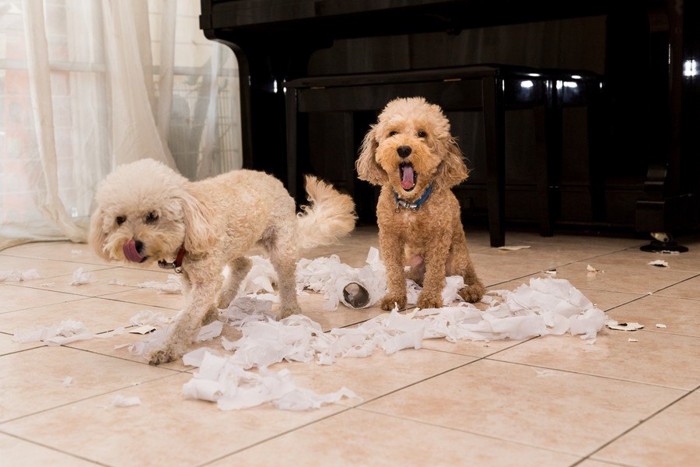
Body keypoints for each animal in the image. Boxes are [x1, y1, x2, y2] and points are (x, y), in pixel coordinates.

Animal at [90, 159, 356, 364]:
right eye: (120, 219)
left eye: (153, 216)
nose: (133, 245)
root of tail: (270, 177)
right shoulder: (189, 277)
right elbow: (194, 303)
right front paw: (208, 315)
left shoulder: (205, 276)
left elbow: (186, 318)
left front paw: (168, 348)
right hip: (236, 243)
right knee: (243, 264)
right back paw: (224, 298)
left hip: (279, 244)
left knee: (286, 277)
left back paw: (289, 310)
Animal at [358, 97, 484, 310]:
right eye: (393, 133)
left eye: (422, 134)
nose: (403, 149)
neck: (411, 203)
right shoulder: (390, 237)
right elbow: (394, 271)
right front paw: (395, 297)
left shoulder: (438, 238)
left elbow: (434, 272)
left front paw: (430, 298)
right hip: (413, 261)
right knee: (412, 275)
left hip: (458, 258)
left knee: (469, 278)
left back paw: (470, 290)